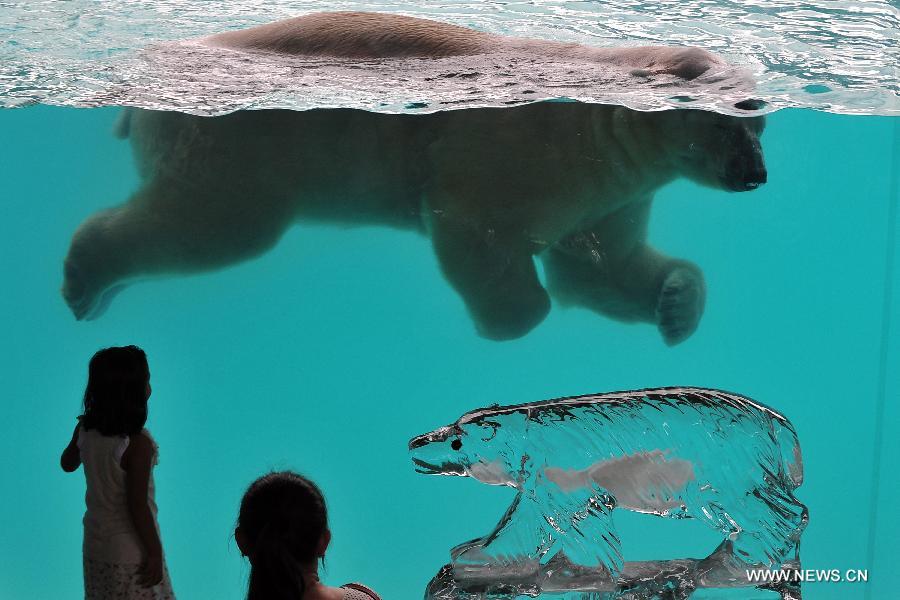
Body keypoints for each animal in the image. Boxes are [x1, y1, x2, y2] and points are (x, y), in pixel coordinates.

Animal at [63, 12, 768, 342]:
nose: (756, 177)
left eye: (759, 126)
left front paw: (676, 303)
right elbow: (477, 227)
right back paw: (84, 281)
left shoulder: (615, 188)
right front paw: (509, 318)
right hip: (240, 143)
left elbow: (600, 267)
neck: (599, 110)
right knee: (219, 225)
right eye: (734, 125)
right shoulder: (523, 151)